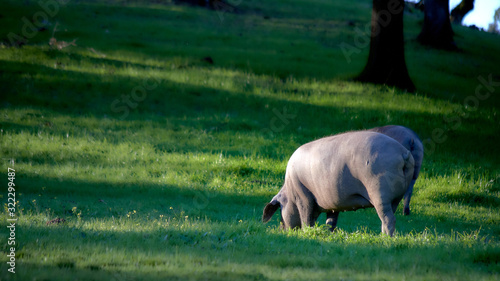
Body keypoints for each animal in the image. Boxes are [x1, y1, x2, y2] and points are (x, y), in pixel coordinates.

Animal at [262, 130, 414, 235]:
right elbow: (331, 222)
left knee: (388, 219)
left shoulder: (303, 197)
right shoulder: (333, 204)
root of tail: (404, 153)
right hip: (395, 198)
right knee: (388, 217)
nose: (282, 230)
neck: (289, 190)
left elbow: (306, 219)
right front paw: (329, 234)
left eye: (280, 209)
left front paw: (306, 233)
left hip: (380, 194)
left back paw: (386, 238)